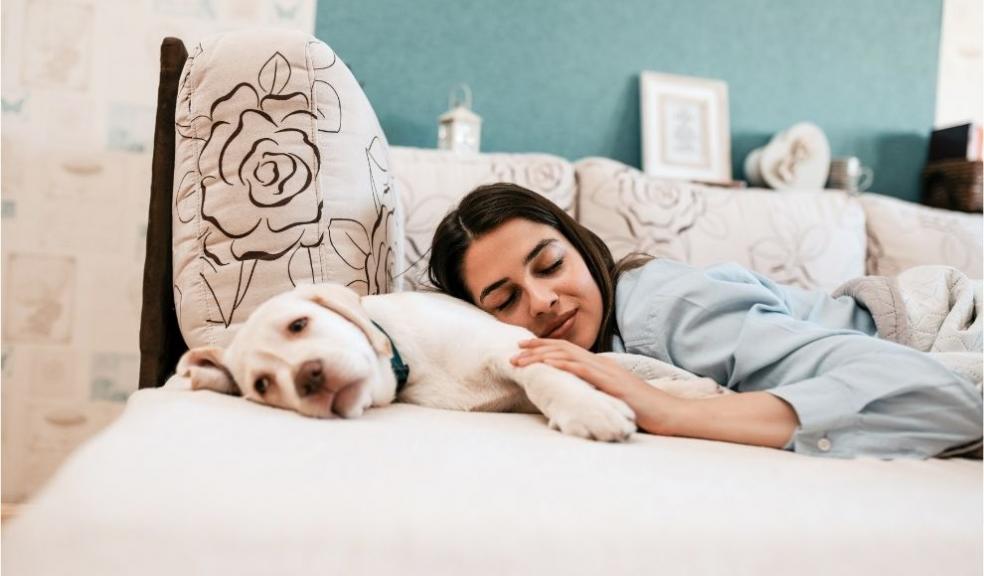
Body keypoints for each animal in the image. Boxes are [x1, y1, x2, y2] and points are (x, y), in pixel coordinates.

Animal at [177, 284, 724, 440]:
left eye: (298, 325)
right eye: (263, 386)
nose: (308, 378)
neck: (408, 357)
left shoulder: (513, 348)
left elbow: (547, 377)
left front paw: (588, 411)